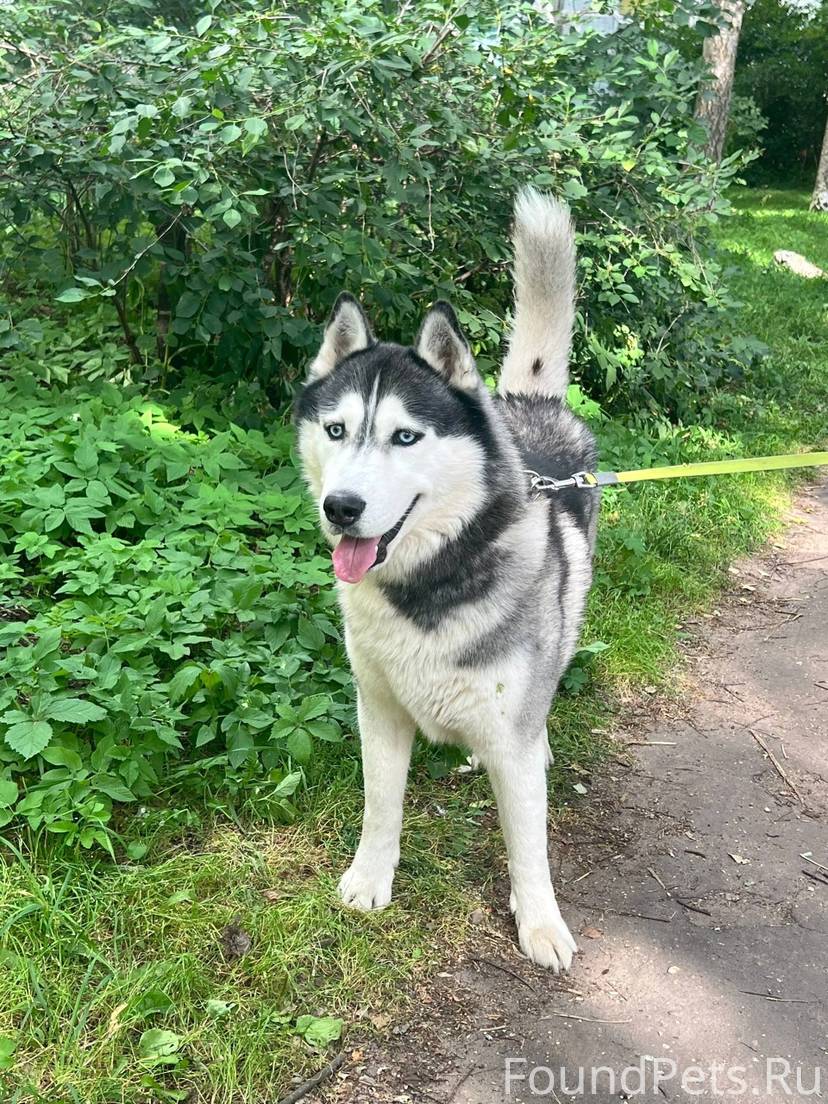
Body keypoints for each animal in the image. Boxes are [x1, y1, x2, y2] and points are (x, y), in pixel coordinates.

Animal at [294, 189, 599, 971]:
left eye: (406, 437)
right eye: (336, 430)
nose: (341, 508)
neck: (428, 583)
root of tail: (525, 403)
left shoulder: (511, 745)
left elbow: (529, 847)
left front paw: (540, 923)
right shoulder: (377, 709)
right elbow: (380, 806)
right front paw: (370, 879)